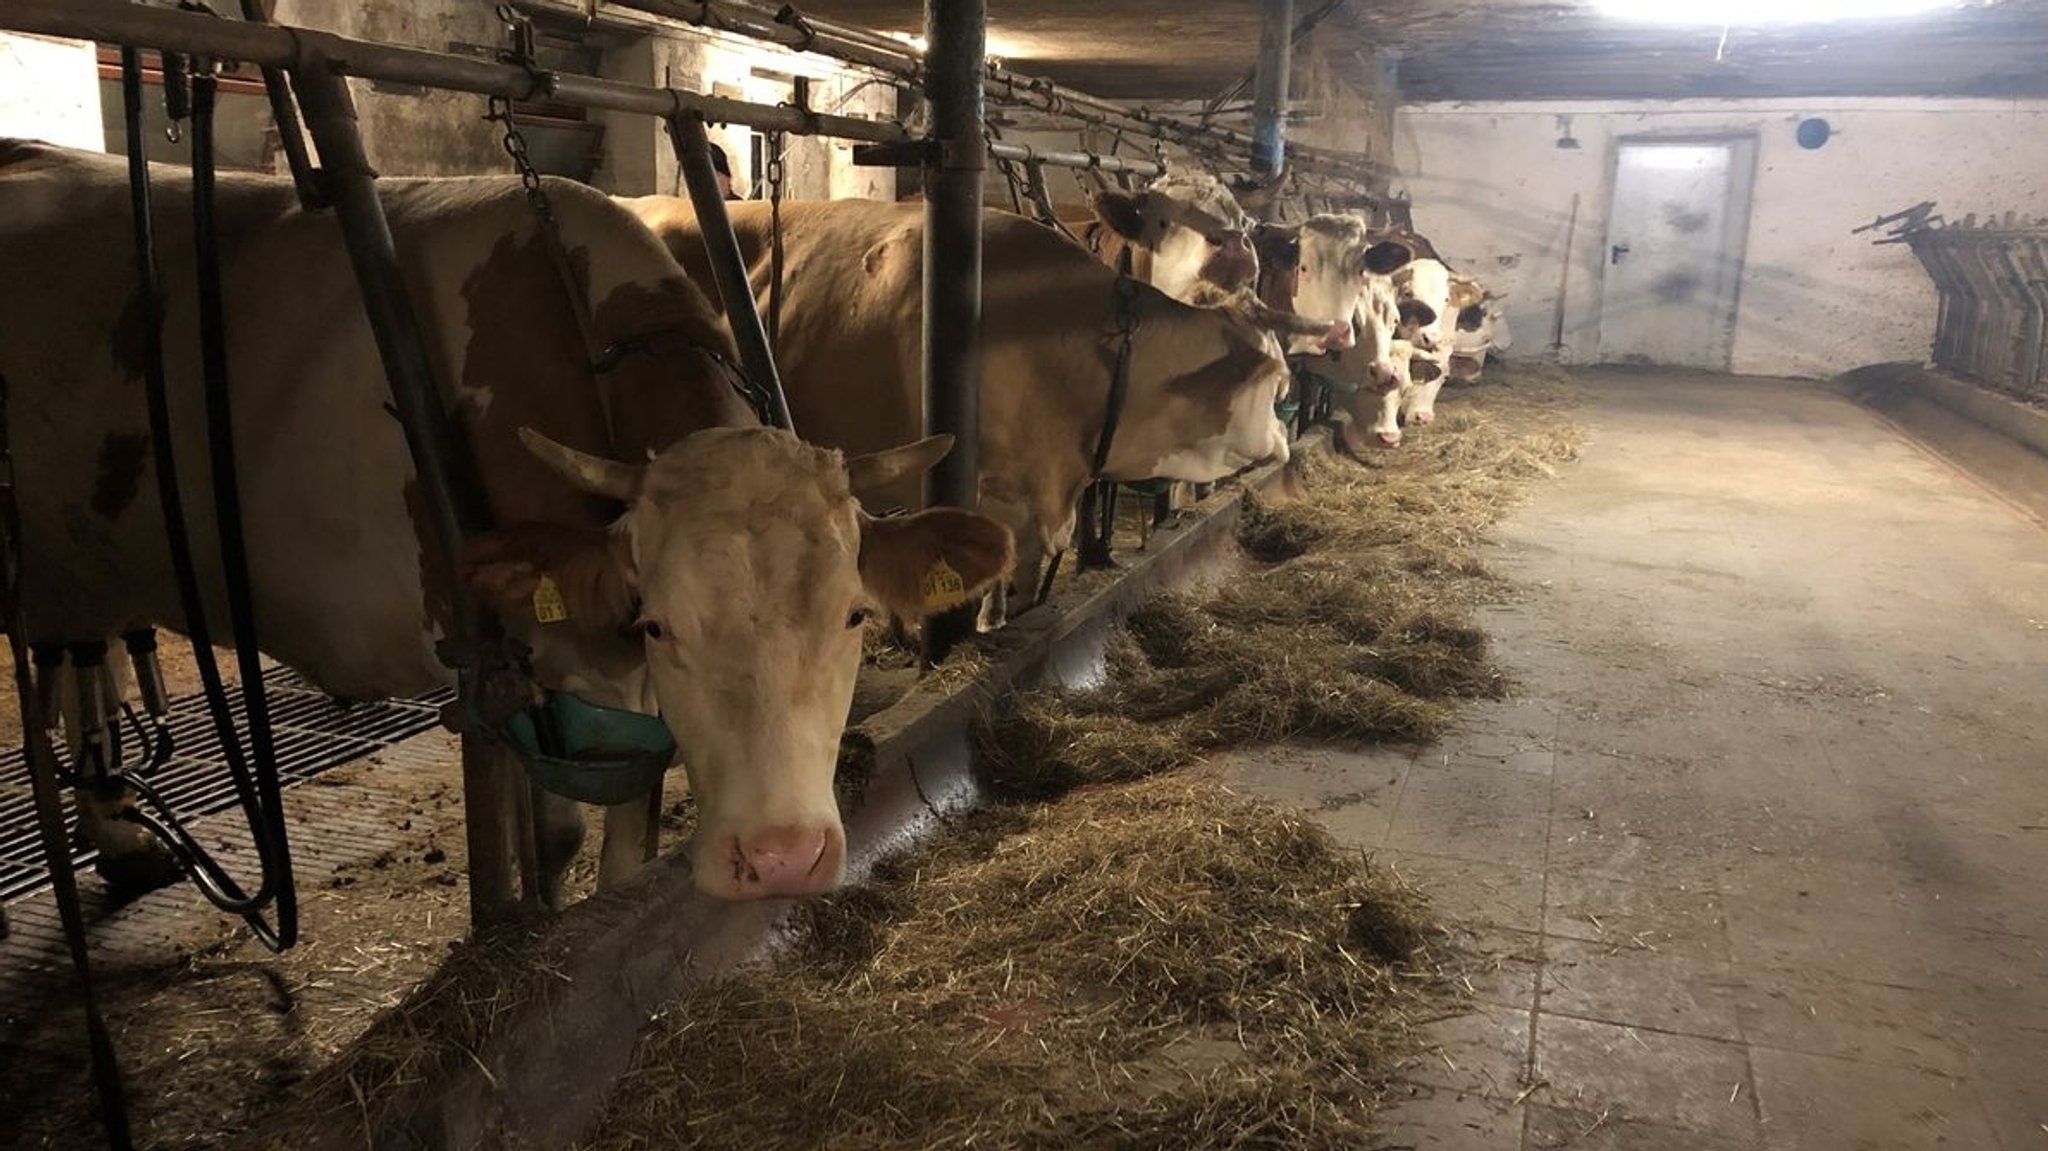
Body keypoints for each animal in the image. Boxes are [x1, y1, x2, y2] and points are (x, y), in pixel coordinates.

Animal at [0, 139, 1007, 901]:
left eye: (855, 615)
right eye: (660, 623)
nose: (780, 858)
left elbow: (628, 838)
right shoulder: (524, 657)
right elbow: (554, 836)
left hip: (87, 552)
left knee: (81, 654)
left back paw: (120, 832)